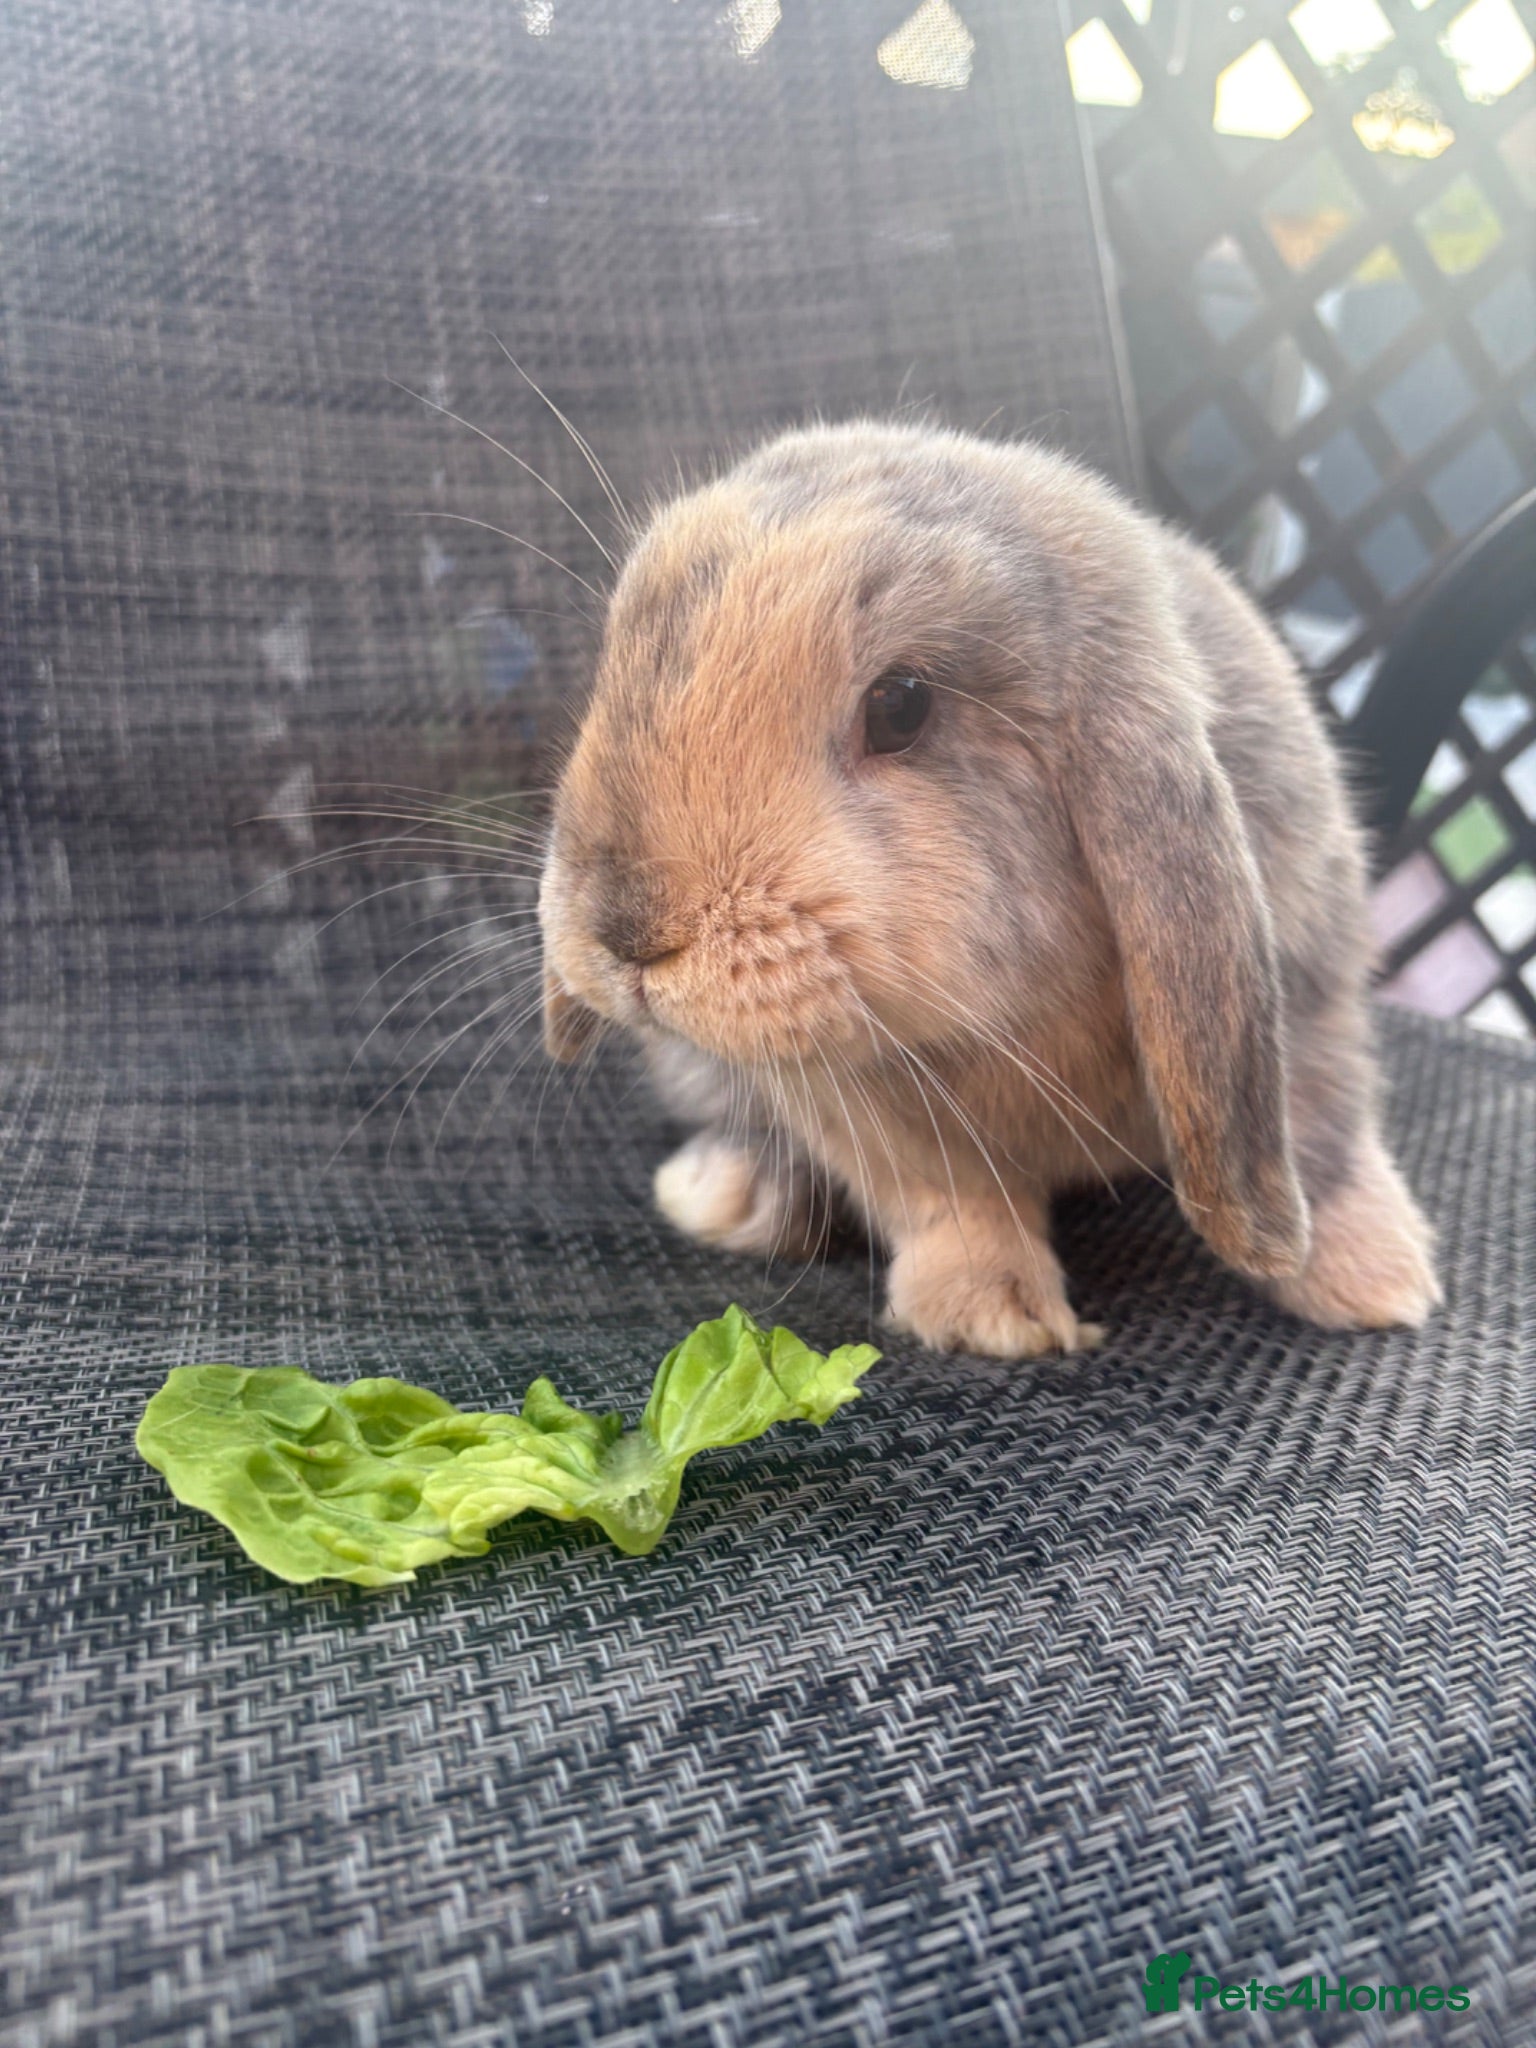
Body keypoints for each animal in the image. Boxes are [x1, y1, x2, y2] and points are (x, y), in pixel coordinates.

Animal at [537, 420, 1440, 1357]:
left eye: (900, 705)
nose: (622, 934)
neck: (1012, 1020)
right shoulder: (862, 1108)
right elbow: (951, 1201)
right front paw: (992, 1316)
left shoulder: (1313, 1004)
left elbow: (1324, 1137)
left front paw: (1374, 1281)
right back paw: (729, 1192)